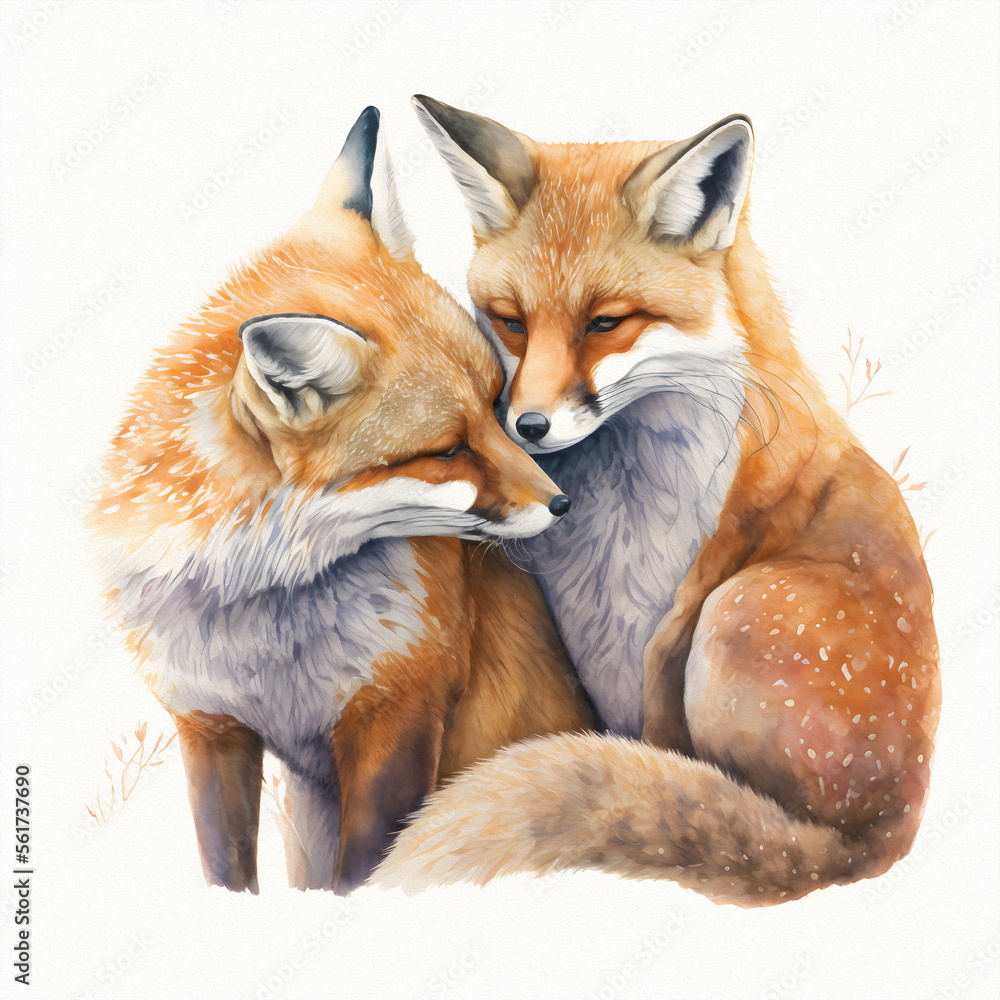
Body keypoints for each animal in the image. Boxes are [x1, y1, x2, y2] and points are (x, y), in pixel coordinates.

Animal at [88, 107, 592, 896]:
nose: (563, 502)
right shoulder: (210, 725)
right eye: (447, 449)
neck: (266, 615)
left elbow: (364, 873)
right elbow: (227, 870)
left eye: (494, 405)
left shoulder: (398, 712)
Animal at [371, 98, 941, 906]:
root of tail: (877, 839)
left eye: (605, 323)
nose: (528, 427)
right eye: (512, 320)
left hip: (739, 606)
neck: (619, 526)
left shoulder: (674, 622)